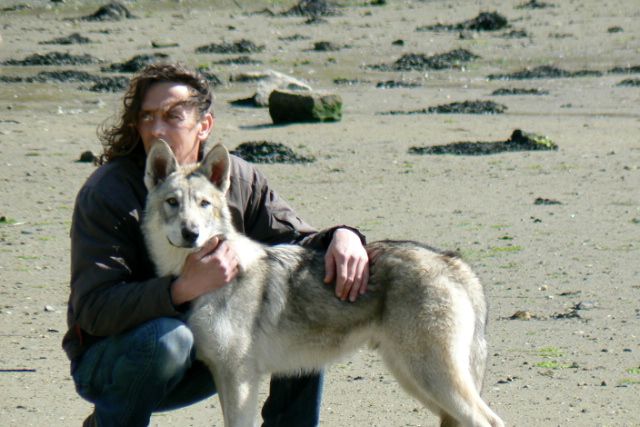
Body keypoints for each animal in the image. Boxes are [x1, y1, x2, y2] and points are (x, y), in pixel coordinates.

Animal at [142, 140, 504, 427]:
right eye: (173, 202)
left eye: (204, 204)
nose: (191, 233)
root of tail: (453, 261)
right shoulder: (226, 376)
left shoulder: (240, 379)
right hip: (415, 378)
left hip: (431, 378)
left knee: (492, 420)